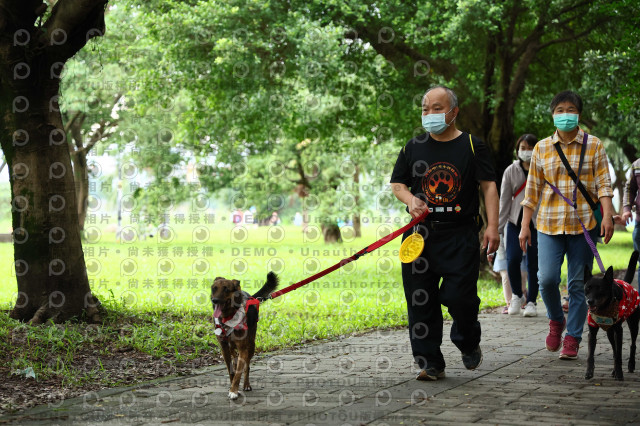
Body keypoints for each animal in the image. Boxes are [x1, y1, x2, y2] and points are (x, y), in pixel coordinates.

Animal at [212, 272, 278, 400]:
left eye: (226, 289)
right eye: (214, 288)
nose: (214, 300)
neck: (228, 317)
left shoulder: (243, 348)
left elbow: (238, 372)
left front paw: (233, 390)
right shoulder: (224, 348)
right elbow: (231, 371)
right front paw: (232, 387)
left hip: (251, 345)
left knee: (246, 366)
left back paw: (246, 385)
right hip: (232, 347)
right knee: (235, 361)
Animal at [584, 250, 640, 380]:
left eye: (600, 289)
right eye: (587, 288)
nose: (590, 301)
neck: (603, 309)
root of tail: (626, 283)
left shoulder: (619, 331)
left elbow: (619, 355)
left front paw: (619, 374)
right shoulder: (592, 331)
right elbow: (590, 355)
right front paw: (589, 372)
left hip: (633, 324)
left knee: (633, 344)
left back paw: (631, 365)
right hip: (610, 332)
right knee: (614, 349)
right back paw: (614, 370)